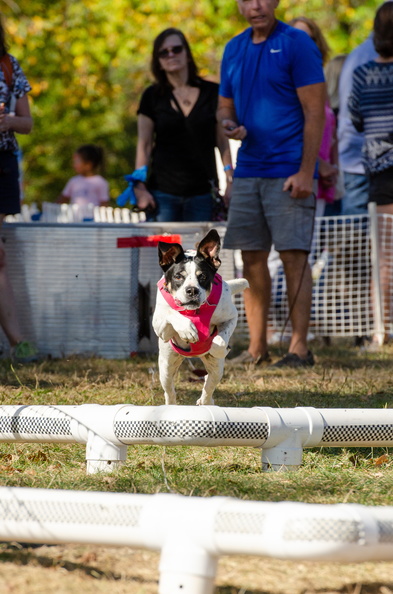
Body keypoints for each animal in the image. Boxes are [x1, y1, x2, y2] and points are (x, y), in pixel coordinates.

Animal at [153, 229, 248, 404]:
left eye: (202, 276)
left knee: (209, 386)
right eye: (178, 276)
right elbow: (171, 312)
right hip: (166, 366)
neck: (194, 311)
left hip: (216, 370)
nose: (192, 290)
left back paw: (205, 402)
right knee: (169, 391)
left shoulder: (232, 316)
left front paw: (218, 347)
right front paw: (187, 330)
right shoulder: (160, 327)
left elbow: (220, 340)